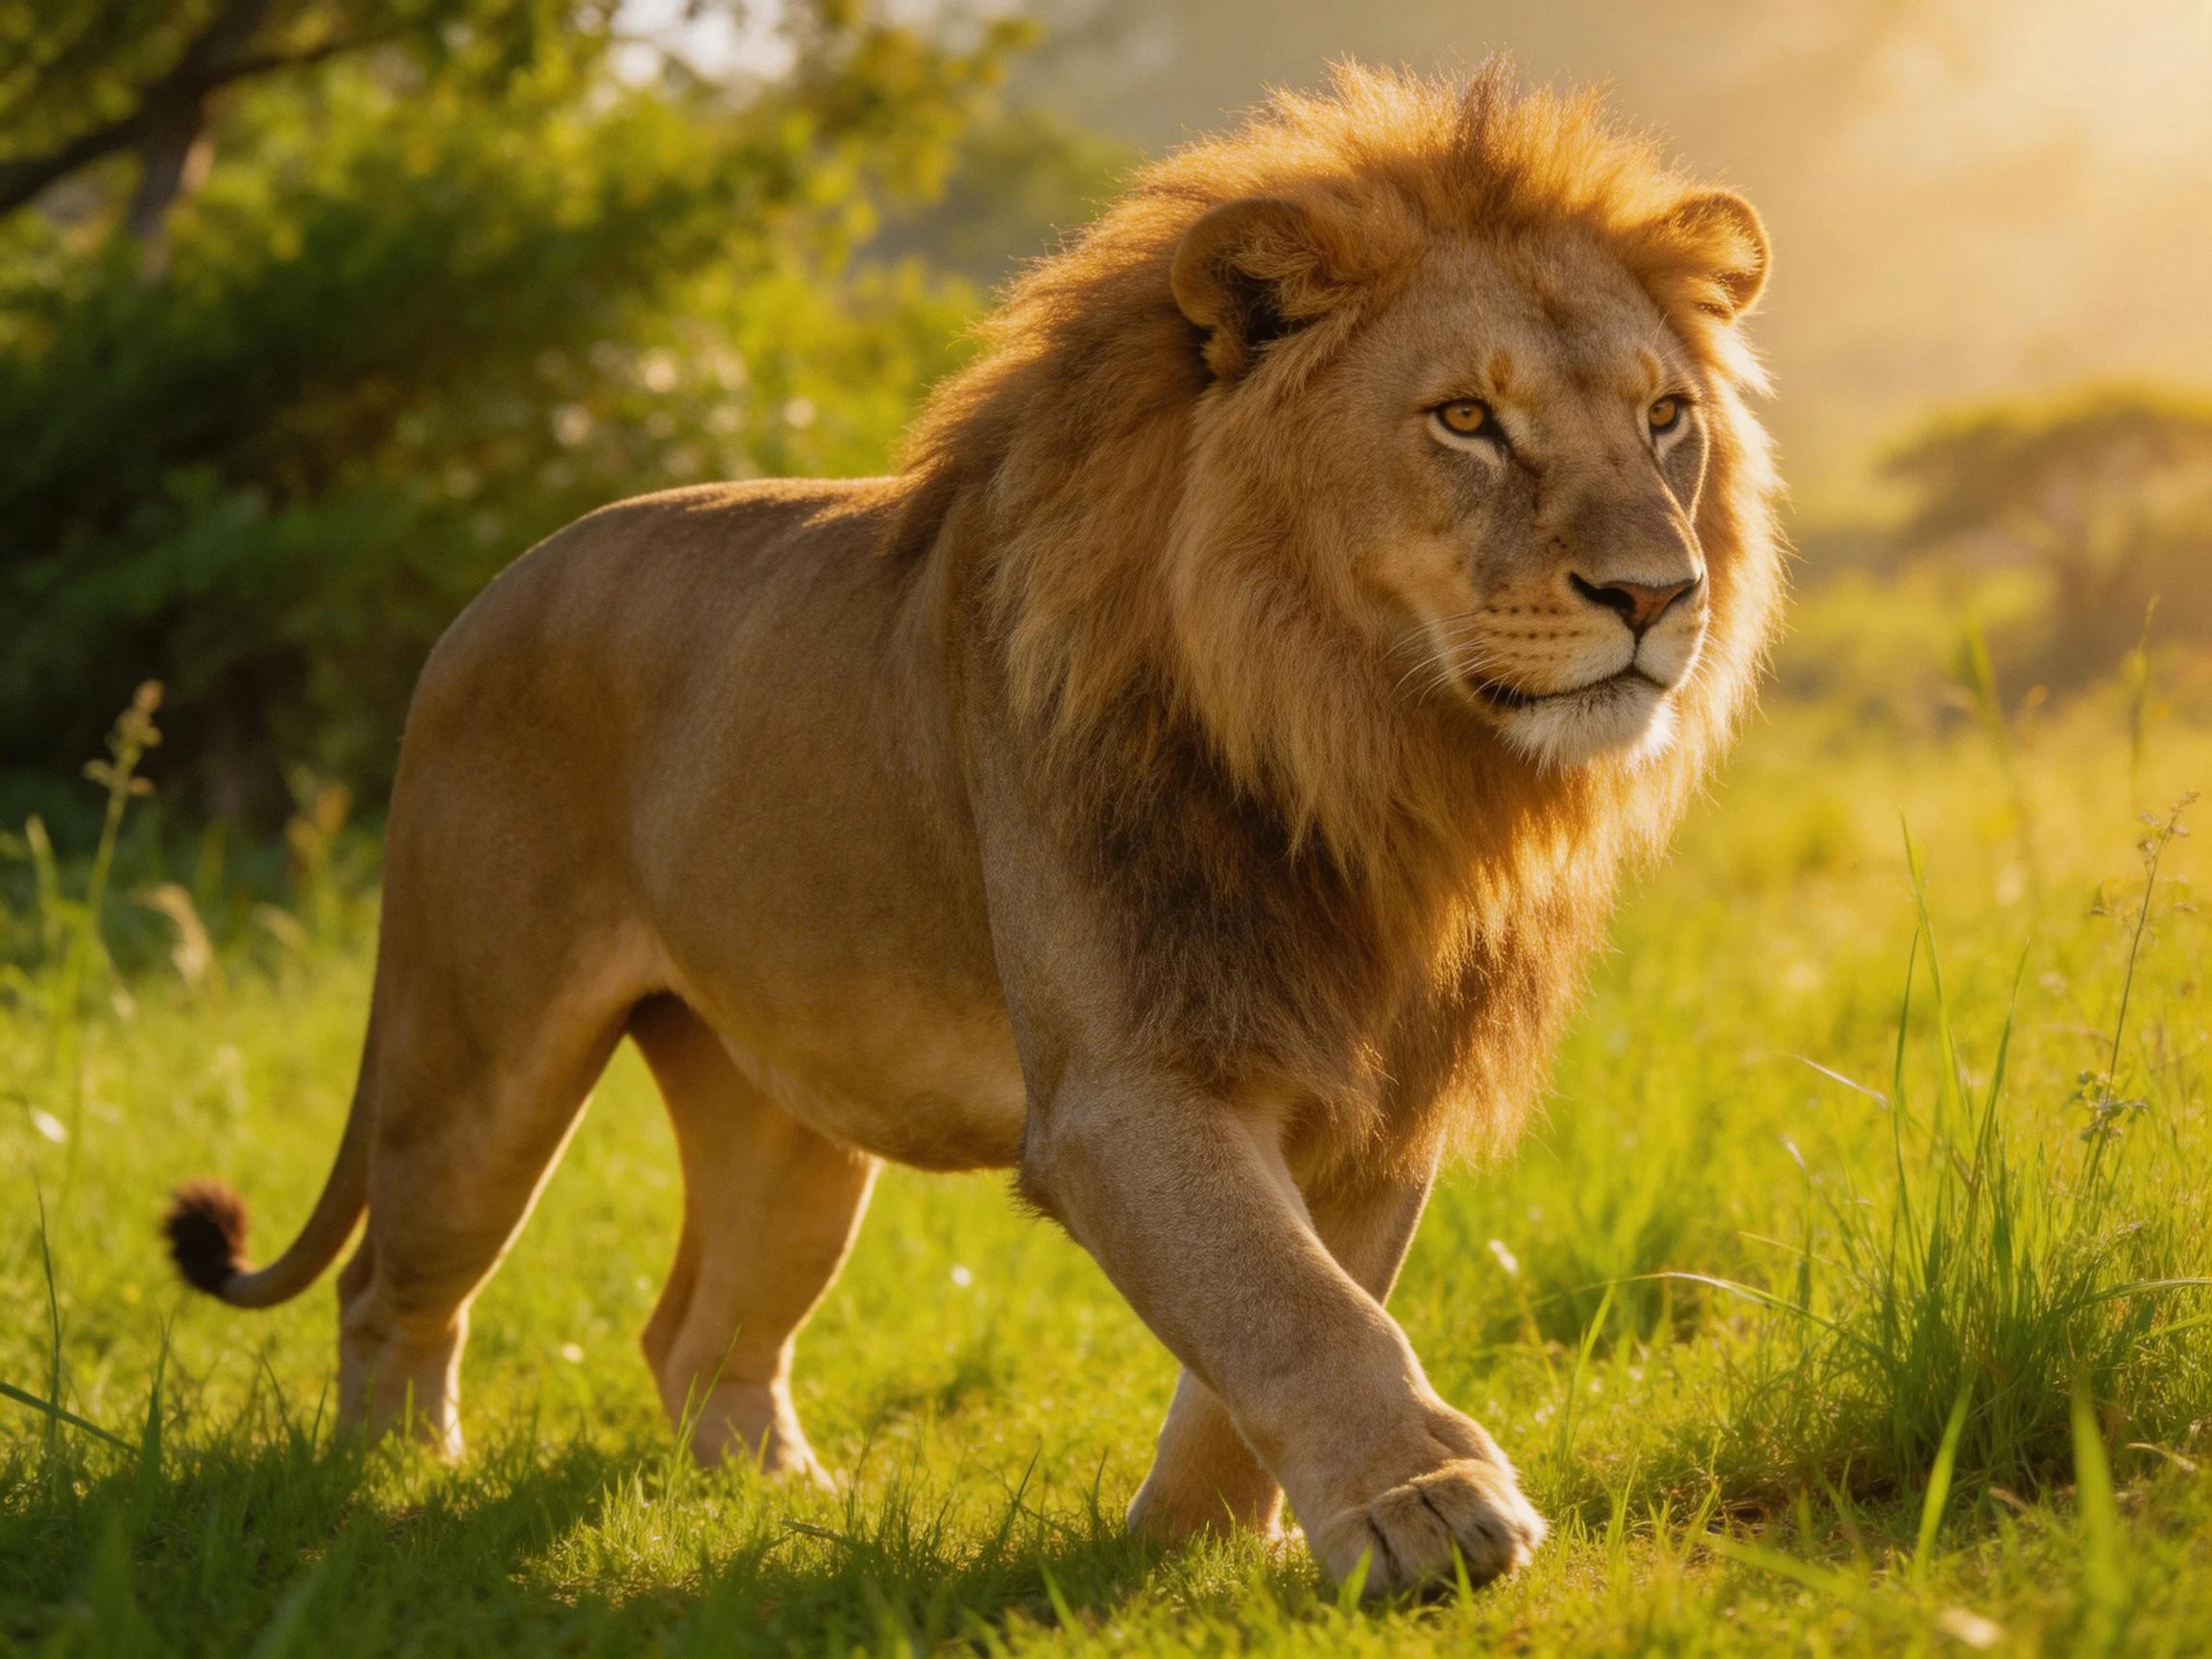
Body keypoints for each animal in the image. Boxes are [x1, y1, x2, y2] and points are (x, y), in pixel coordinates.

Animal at [164, 61, 1780, 1596]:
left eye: (1664, 418)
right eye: (1466, 420)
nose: (1658, 594)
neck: (1366, 756)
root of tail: (485, 598)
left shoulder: (1380, 1099)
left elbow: (1275, 1318)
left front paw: (1190, 1551)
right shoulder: (1124, 1084)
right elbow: (1291, 1304)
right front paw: (1427, 1508)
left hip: (788, 1118)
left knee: (699, 1333)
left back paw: (785, 1510)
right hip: (478, 1065)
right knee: (392, 1288)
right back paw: (394, 1488)